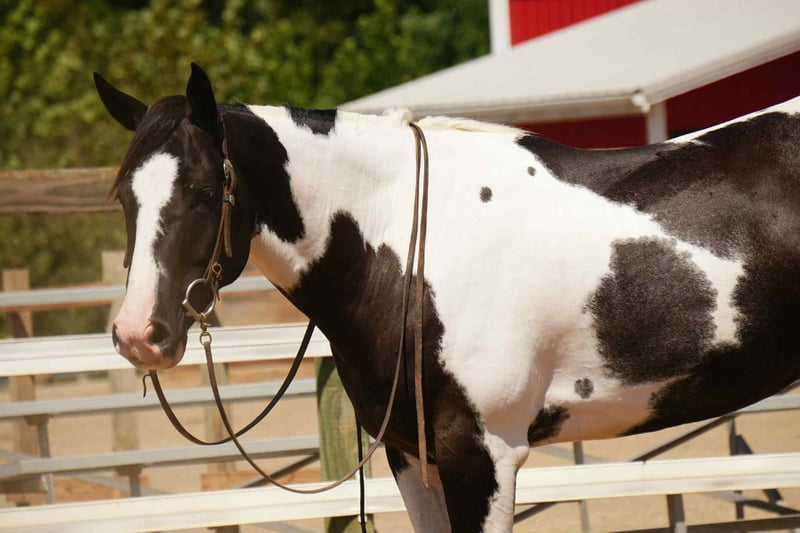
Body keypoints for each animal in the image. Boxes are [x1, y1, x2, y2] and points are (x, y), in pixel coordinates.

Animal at [95, 63, 800, 532]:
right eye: (123, 196)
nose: (139, 335)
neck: (407, 252)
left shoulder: (482, 457)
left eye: (204, 193)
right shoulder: (413, 456)